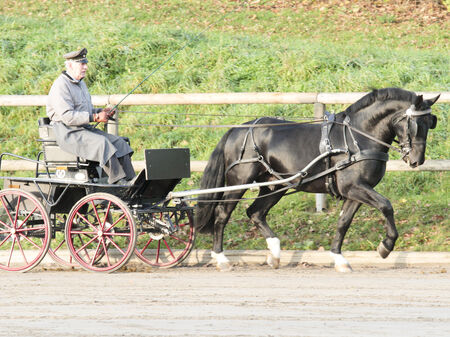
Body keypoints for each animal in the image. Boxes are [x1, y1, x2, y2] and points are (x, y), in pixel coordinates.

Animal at [195, 87, 438, 270]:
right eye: (414, 124)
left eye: (431, 123)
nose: (417, 160)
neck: (358, 137)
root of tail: (238, 129)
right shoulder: (354, 187)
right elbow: (386, 205)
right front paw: (386, 246)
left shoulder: (356, 191)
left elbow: (343, 222)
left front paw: (339, 259)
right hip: (239, 182)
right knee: (222, 214)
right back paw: (221, 258)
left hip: (275, 185)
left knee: (255, 212)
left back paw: (274, 253)